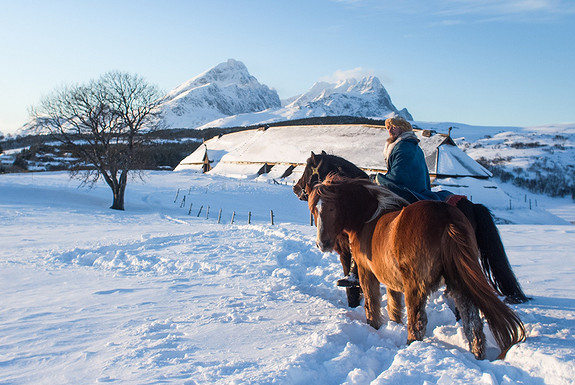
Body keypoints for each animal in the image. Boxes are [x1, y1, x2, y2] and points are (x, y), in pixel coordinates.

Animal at [310, 176, 528, 358]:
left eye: (332, 208)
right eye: (315, 210)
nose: (322, 243)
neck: (368, 219)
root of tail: (446, 218)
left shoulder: (367, 272)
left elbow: (372, 306)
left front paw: (375, 327)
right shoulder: (391, 280)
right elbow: (394, 308)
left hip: (415, 287)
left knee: (417, 324)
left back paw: (412, 349)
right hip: (459, 284)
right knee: (473, 327)